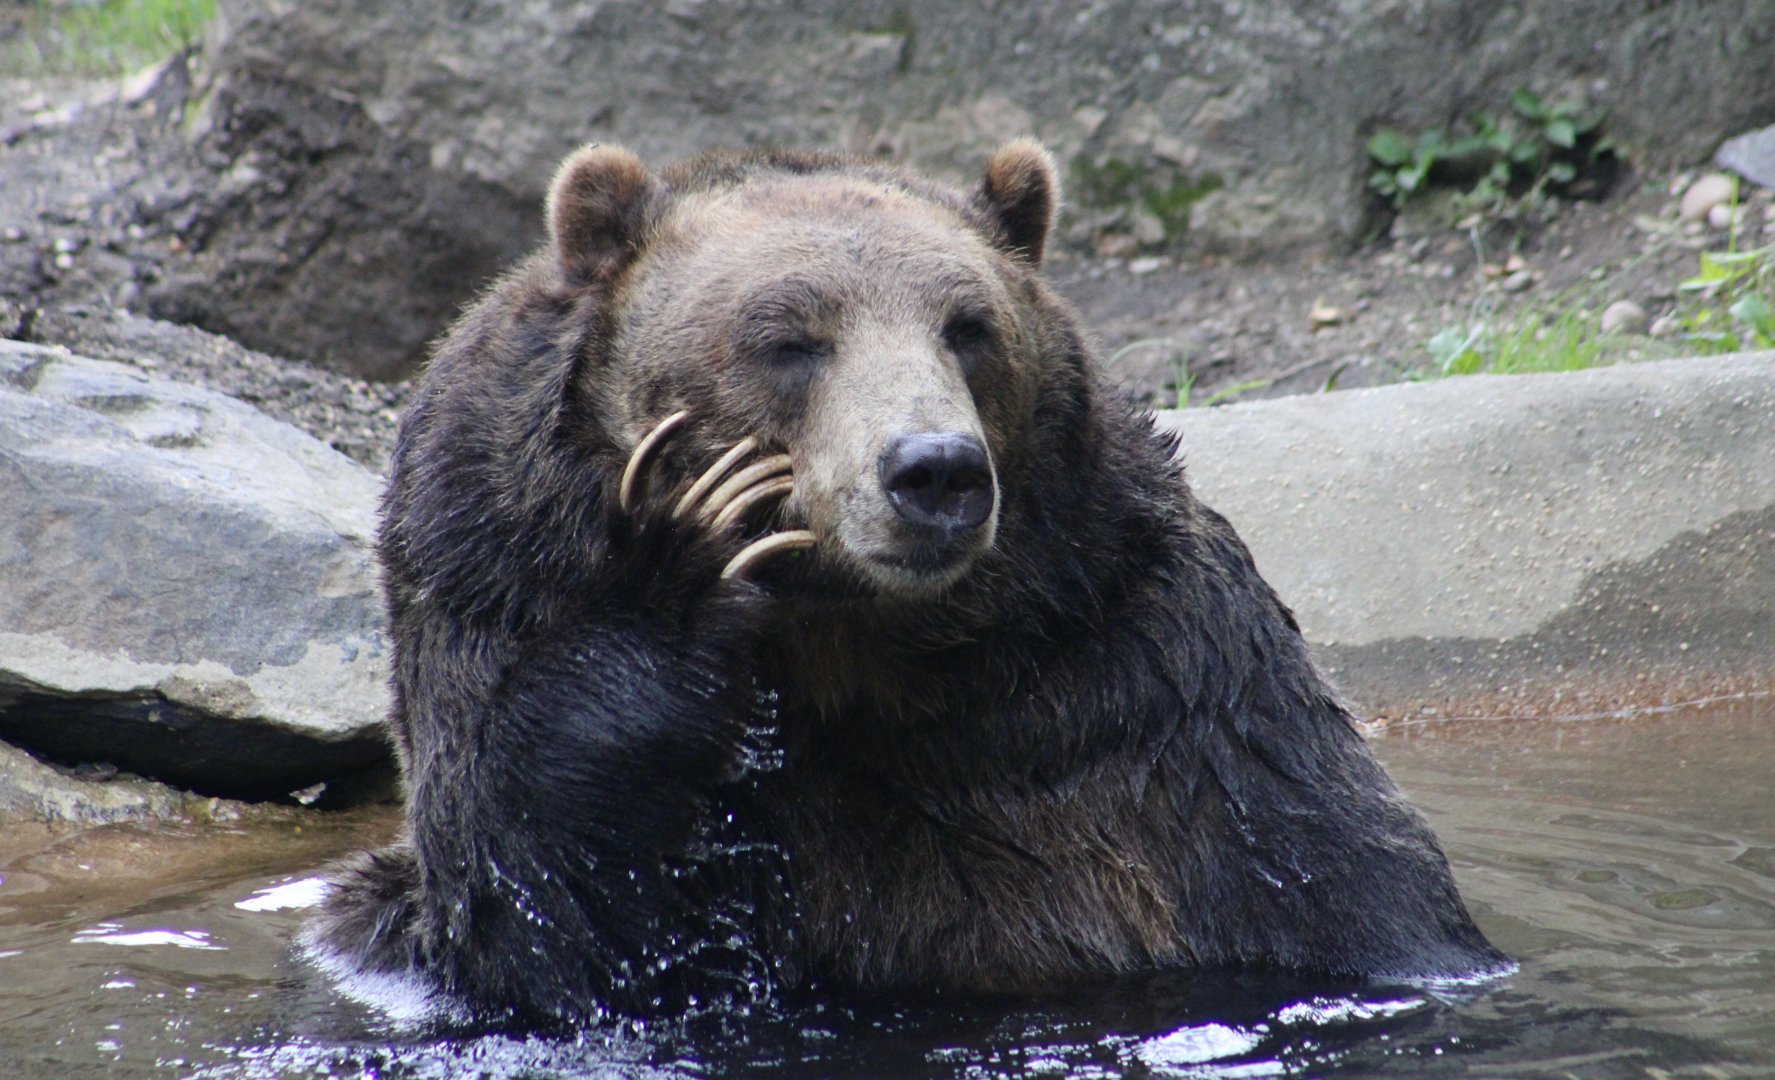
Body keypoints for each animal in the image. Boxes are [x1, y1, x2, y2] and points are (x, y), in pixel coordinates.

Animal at [305, 140, 1507, 1029]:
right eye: (788, 337)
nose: (933, 470)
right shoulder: (492, 577)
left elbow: (1333, 877)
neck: (848, 637)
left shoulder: (1144, 687)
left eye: (967, 326)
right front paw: (685, 564)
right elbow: (547, 911)